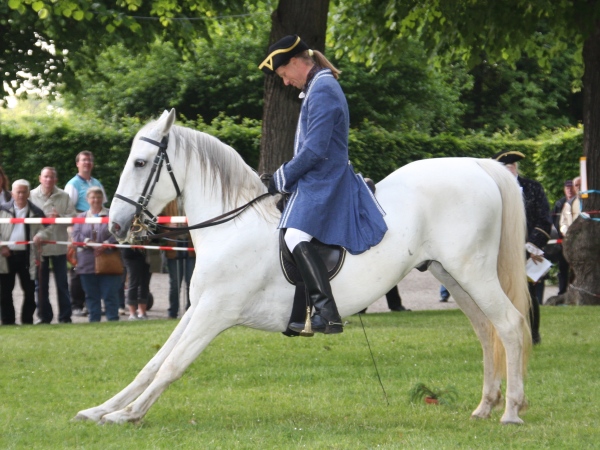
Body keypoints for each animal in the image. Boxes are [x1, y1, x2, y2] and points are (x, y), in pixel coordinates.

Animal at [75, 109, 528, 426]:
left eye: (140, 162)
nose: (115, 225)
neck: (232, 225)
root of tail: (475, 165)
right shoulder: (197, 308)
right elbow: (153, 362)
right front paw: (101, 410)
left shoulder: (214, 313)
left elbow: (172, 365)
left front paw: (128, 415)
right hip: (450, 274)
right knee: (486, 332)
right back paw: (484, 407)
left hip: (473, 272)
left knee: (508, 325)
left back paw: (511, 411)